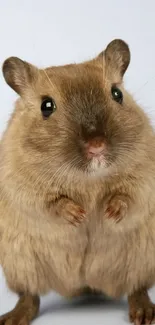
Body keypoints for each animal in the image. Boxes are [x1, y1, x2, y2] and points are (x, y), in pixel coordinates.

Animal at [0, 38, 155, 324]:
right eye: (46, 106)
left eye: (117, 94)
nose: (97, 146)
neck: (88, 177)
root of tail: (85, 285)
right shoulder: (18, 183)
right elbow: (48, 203)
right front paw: (78, 215)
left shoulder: (146, 172)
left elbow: (130, 195)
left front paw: (109, 211)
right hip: (20, 264)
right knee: (30, 296)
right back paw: (13, 317)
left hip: (143, 260)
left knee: (136, 288)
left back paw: (144, 312)